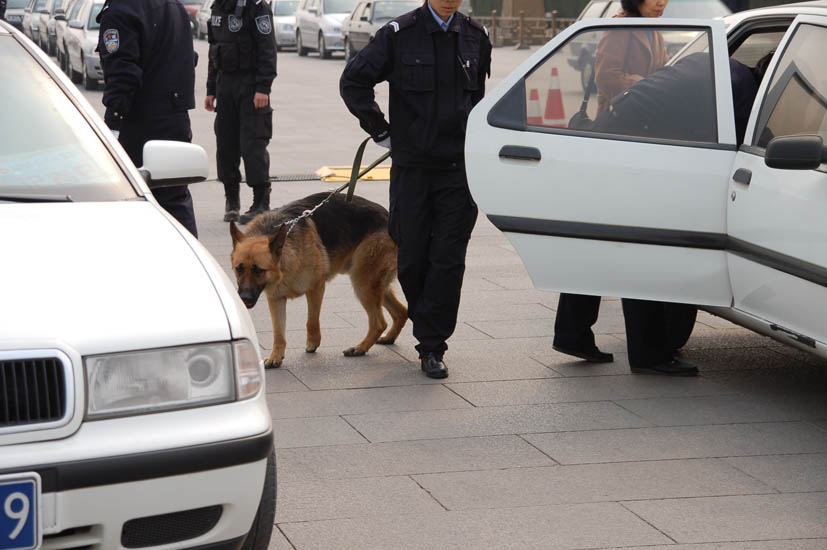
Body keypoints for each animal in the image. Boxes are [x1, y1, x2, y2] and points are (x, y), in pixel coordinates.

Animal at [228, 192, 410, 368]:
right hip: (374, 285)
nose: (244, 298)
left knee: (379, 323)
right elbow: (278, 332)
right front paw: (276, 357)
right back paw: (388, 338)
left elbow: (312, 320)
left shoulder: (316, 287)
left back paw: (359, 348)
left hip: (362, 283)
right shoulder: (276, 299)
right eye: (239, 269)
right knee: (402, 311)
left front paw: (312, 343)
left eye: (259, 270)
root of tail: (388, 217)